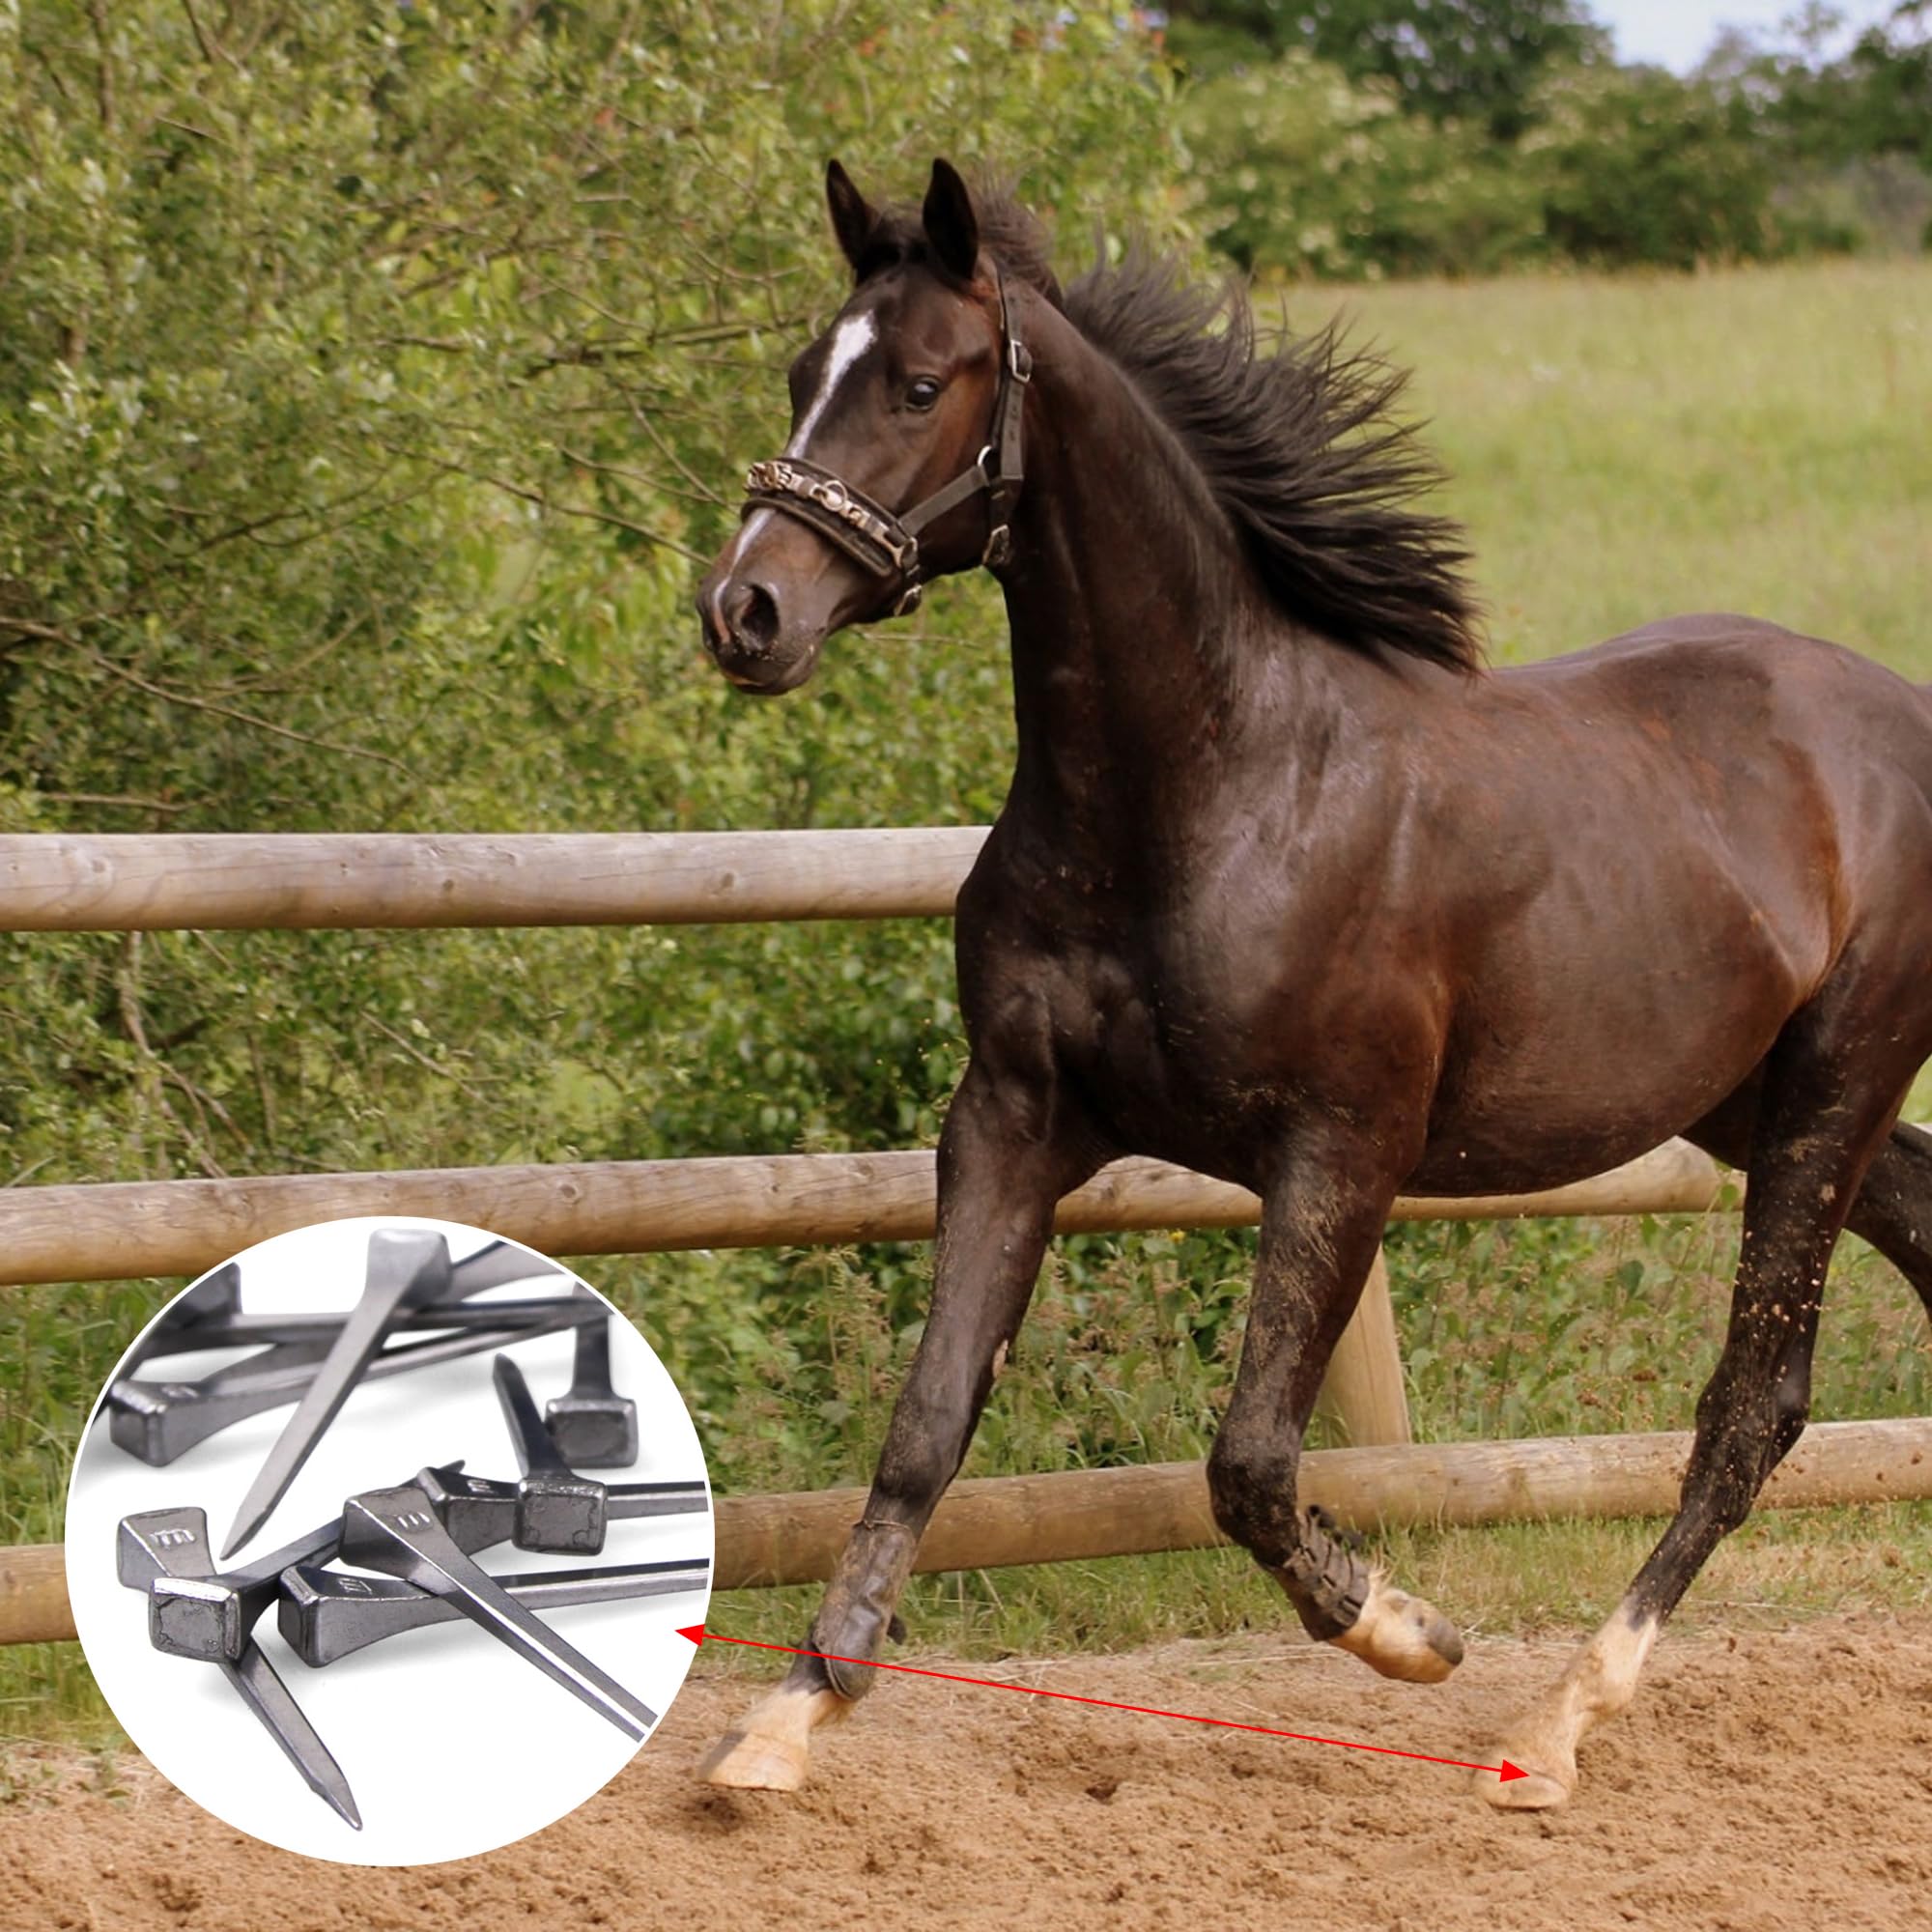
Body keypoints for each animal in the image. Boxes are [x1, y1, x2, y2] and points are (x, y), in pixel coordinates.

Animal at [692, 158, 1932, 1808]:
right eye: (797, 372)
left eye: (916, 382)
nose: (745, 613)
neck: (1208, 790)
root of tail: (1906, 713)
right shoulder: (1013, 1119)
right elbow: (927, 1425)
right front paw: (785, 1722)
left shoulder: (1344, 1150)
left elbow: (1251, 1466)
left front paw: (1414, 1633)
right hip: (1746, 1097)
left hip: (1830, 1093)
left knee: (1752, 1409)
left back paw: (1556, 1723)